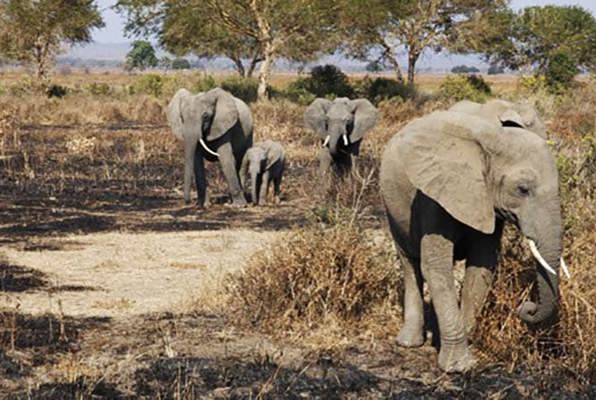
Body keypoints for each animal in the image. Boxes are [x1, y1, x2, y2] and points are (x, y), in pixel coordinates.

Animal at [382, 109, 568, 372]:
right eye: (522, 189)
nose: (526, 308)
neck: (494, 140)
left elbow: (481, 265)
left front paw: (464, 348)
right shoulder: (433, 194)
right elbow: (435, 267)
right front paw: (457, 367)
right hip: (392, 204)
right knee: (410, 262)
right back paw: (409, 343)